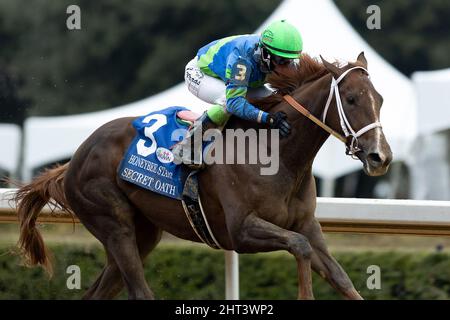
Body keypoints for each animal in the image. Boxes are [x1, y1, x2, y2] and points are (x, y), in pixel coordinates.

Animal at [15, 53, 392, 300]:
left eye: (380, 99)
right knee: (140, 290)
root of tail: (73, 161)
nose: (381, 156)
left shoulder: (307, 225)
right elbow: (298, 247)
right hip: (113, 224)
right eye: (351, 98)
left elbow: (340, 276)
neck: (279, 154)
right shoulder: (241, 231)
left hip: (141, 235)